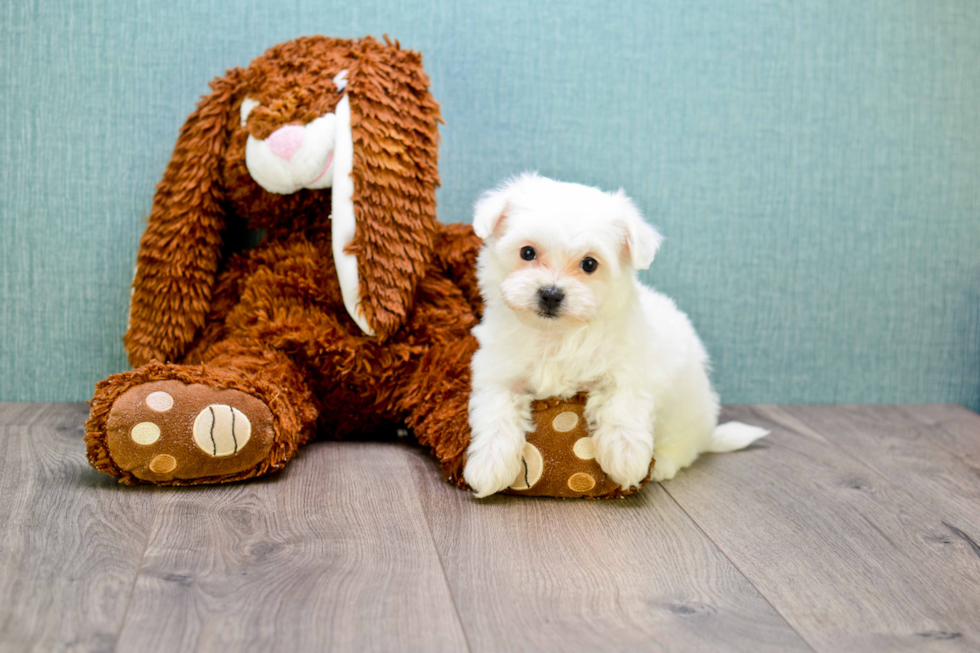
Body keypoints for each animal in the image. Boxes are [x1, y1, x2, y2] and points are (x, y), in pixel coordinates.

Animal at [464, 176, 768, 496]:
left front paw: (626, 457)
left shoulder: (631, 364)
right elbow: (495, 411)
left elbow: (623, 401)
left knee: (684, 446)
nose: (551, 294)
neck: (558, 336)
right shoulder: (497, 371)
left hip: (685, 407)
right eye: (527, 253)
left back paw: (662, 463)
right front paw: (488, 466)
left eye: (589, 264)